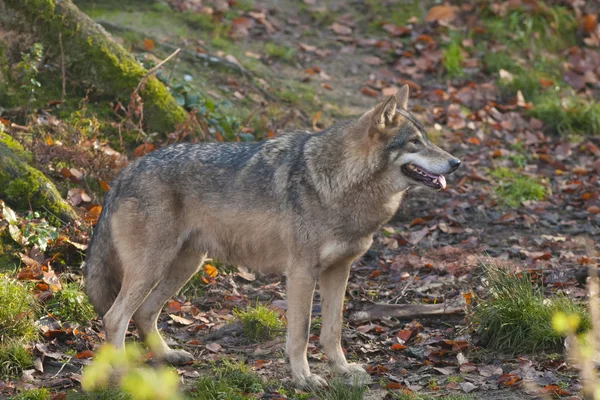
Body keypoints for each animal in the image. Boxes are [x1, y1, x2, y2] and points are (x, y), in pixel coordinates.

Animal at [83, 86, 460, 390]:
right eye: (415, 142)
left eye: (427, 139)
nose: (456, 162)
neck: (341, 183)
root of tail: (123, 172)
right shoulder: (302, 273)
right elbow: (301, 334)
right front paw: (305, 379)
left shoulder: (339, 270)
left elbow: (333, 330)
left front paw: (343, 370)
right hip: (155, 267)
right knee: (116, 318)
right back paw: (122, 375)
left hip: (185, 265)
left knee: (145, 313)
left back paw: (167, 356)